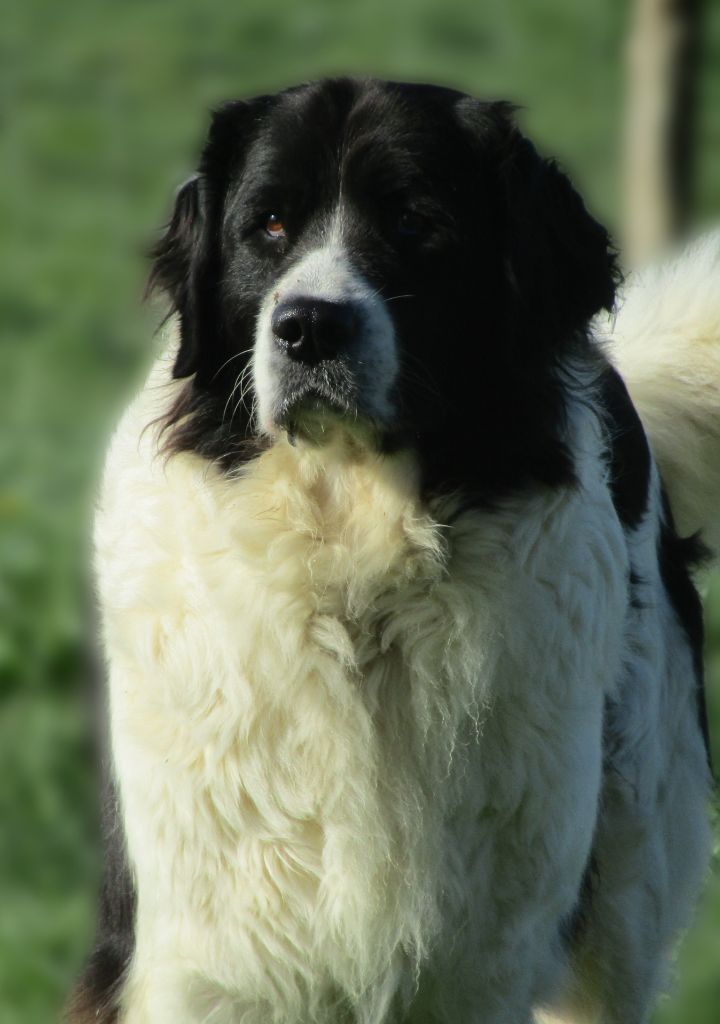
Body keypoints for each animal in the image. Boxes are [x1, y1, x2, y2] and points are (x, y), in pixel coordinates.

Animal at [70, 78, 716, 1024]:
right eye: (268, 225)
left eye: (416, 222)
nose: (308, 327)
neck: (354, 575)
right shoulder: (213, 954)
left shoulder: (478, 960)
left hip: (625, 873)